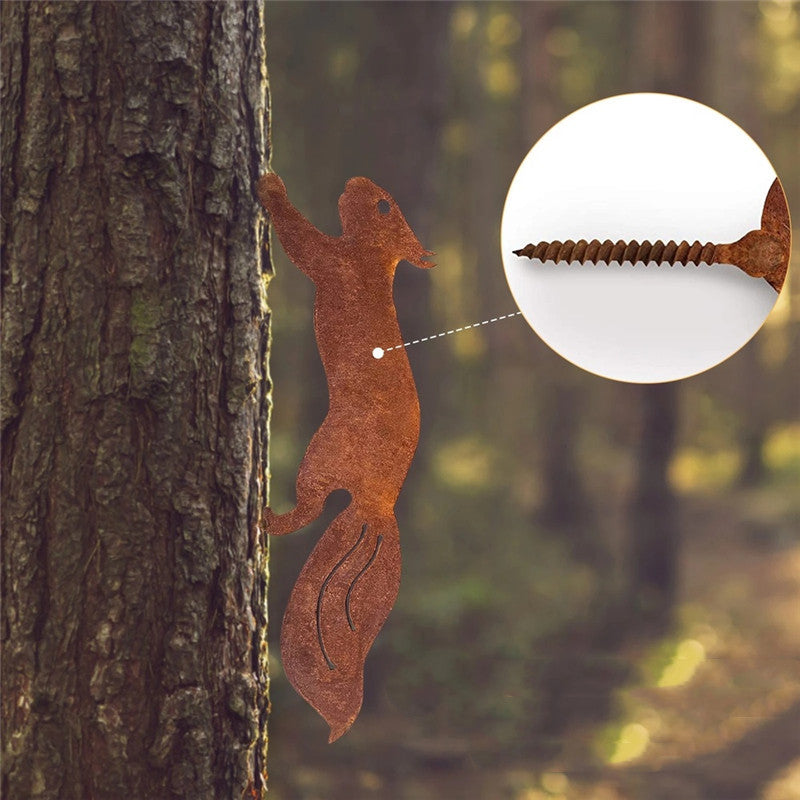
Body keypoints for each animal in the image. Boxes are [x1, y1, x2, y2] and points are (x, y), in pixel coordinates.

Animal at [258, 173, 434, 741]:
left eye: (382, 204)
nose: (356, 181)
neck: (375, 260)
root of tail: (377, 506)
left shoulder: (334, 262)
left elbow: (303, 242)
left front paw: (271, 186)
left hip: (322, 456)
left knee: (308, 509)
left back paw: (265, 513)